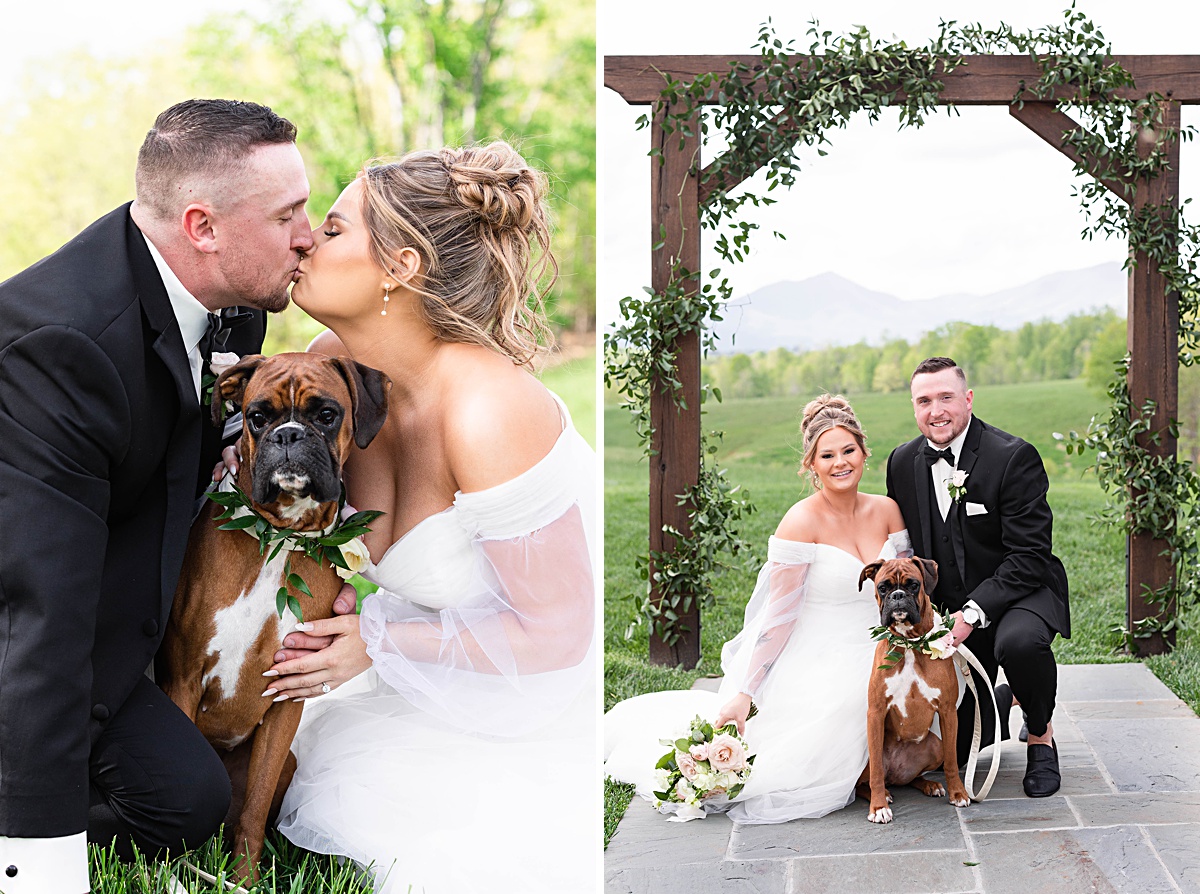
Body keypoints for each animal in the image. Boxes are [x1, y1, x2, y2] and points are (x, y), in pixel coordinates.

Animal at [158, 348, 388, 878]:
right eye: (258, 417)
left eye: (326, 414)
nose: (288, 435)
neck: (278, 539)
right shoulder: (182, 679)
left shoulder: (287, 698)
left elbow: (255, 810)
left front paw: (243, 878)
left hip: (288, 762)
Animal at [859, 556, 969, 820]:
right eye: (883, 587)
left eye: (913, 584)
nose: (898, 595)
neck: (910, 643)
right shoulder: (875, 713)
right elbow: (876, 772)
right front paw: (879, 807)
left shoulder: (948, 711)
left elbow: (952, 761)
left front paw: (958, 793)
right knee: (866, 783)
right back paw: (884, 794)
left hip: (935, 745)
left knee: (913, 778)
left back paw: (930, 785)